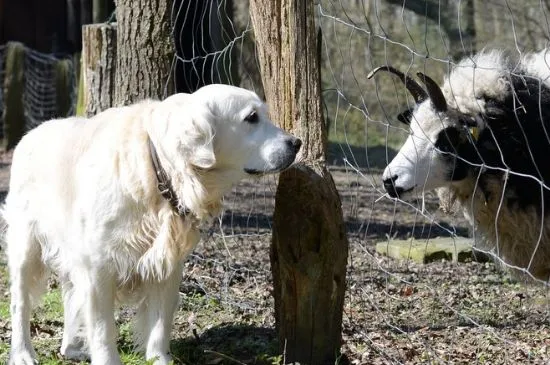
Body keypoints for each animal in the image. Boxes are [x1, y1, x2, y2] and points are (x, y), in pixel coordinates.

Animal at [3, 84, 302, 362]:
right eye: (251, 117)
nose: (296, 143)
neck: (158, 172)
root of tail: (30, 134)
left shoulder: (167, 264)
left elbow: (160, 323)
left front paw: (160, 358)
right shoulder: (98, 267)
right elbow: (102, 328)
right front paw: (108, 359)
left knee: (69, 294)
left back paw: (71, 348)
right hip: (26, 248)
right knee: (20, 305)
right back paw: (23, 353)